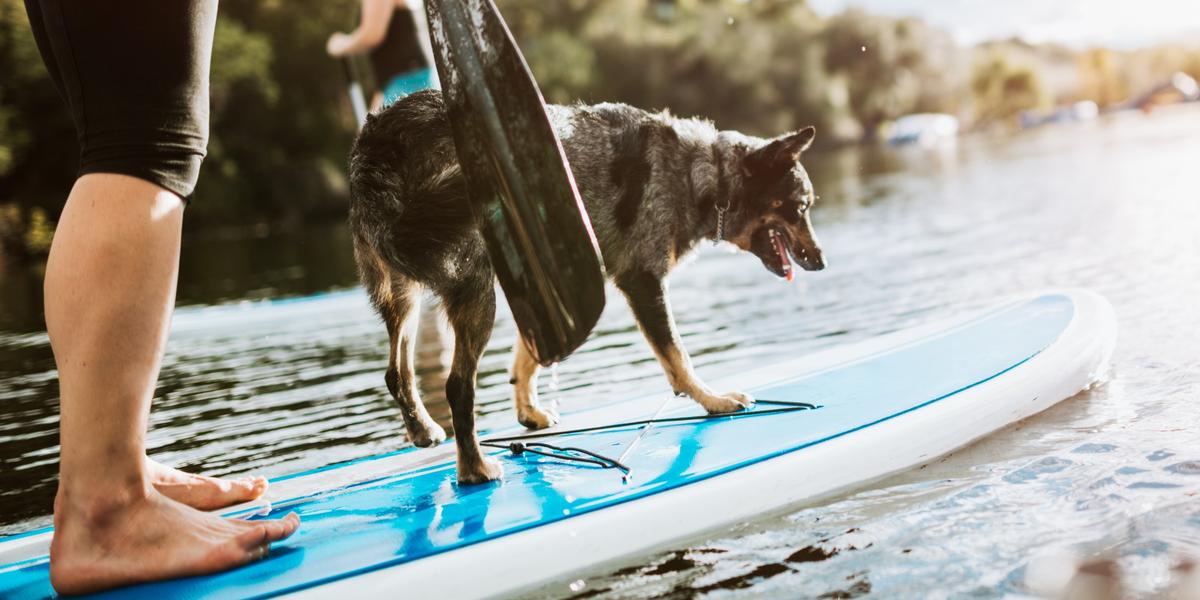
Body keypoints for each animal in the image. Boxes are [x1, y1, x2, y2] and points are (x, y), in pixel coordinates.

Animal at [348, 88, 825, 482]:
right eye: (800, 207)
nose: (821, 261)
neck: (700, 174)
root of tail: (377, 140)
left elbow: (529, 357)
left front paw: (528, 410)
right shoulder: (642, 280)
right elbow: (679, 359)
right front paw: (713, 401)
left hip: (403, 295)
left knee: (397, 372)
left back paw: (423, 428)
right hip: (475, 289)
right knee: (457, 386)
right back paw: (474, 469)